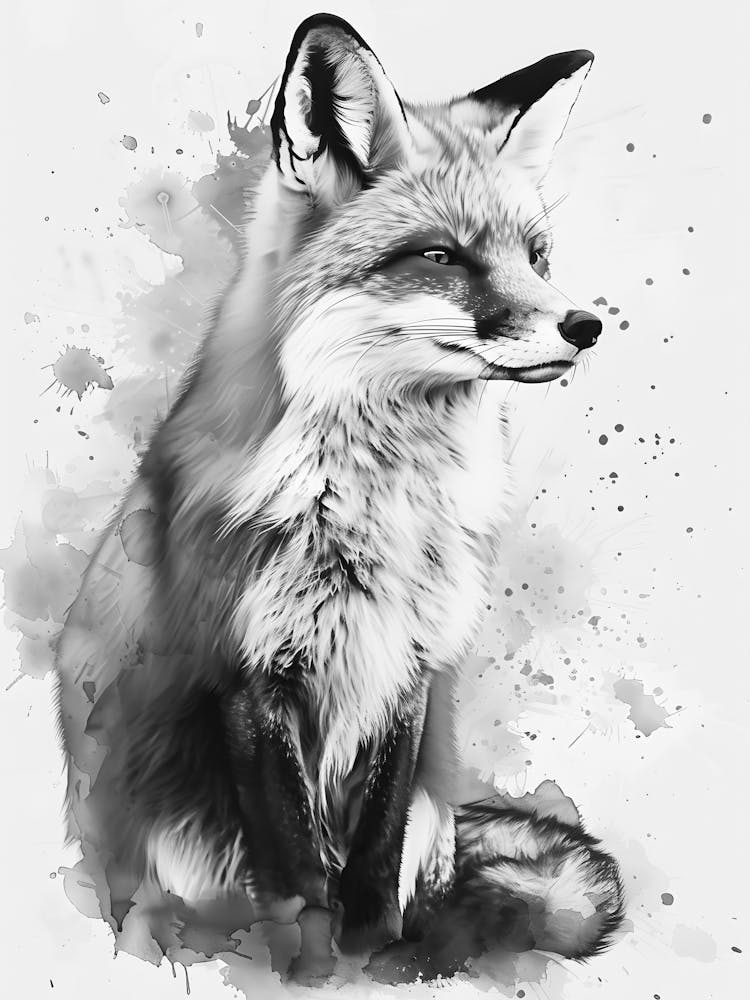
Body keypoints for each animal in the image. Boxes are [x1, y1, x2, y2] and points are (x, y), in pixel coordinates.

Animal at [55, 12, 624, 976]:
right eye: (442, 256)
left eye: (536, 256)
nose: (585, 326)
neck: (376, 513)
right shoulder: (247, 671)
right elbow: (295, 879)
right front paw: (310, 971)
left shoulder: (410, 664)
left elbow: (373, 858)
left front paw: (369, 951)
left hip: (431, 813)